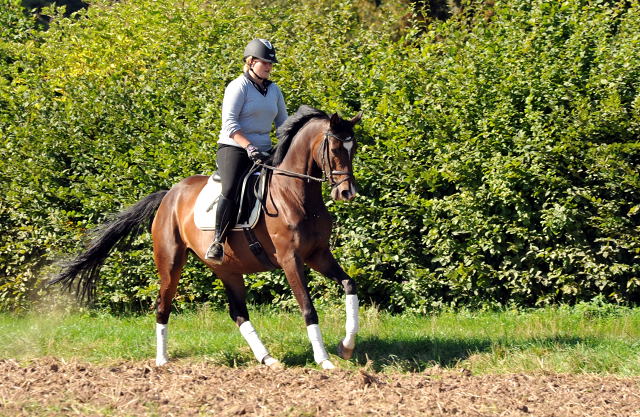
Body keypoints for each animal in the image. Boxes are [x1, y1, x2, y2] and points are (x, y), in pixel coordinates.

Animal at [52, 105, 362, 368]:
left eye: (354, 148)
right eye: (335, 147)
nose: (347, 192)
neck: (295, 195)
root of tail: (169, 194)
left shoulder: (317, 255)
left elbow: (350, 285)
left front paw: (346, 347)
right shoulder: (290, 260)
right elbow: (308, 308)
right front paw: (324, 361)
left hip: (228, 269)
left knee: (238, 313)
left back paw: (268, 359)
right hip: (171, 262)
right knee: (163, 305)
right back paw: (161, 361)